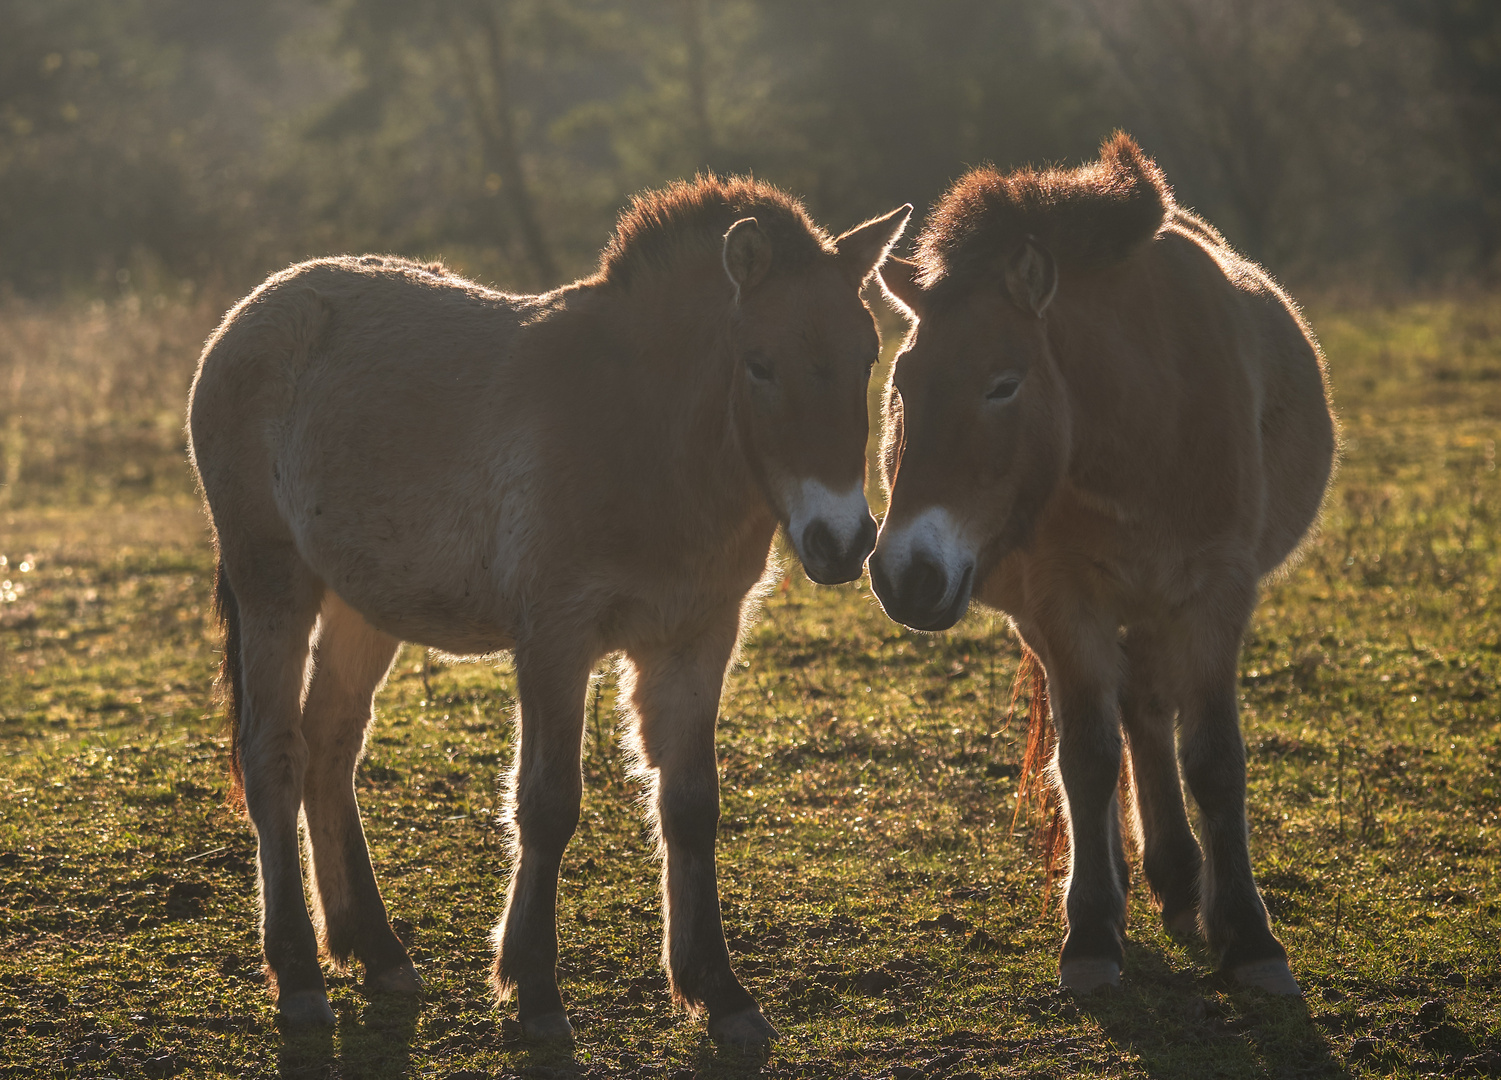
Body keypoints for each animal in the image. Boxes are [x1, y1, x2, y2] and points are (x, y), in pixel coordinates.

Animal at [192, 177, 906, 1044]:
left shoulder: (695, 639)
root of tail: (253, 312)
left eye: (867, 356)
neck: (647, 436)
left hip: (362, 605)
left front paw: (720, 990)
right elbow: (547, 804)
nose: (841, 541)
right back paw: (298, 975)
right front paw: (534, 990)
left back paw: (375, 948)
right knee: (274, 755)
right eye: (760, 365)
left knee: (330, 745)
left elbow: (690, 804)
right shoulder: (556, 640)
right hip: (274, 582)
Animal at [870, 135, 1338, 996]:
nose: (903, 575)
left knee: (1149, 713)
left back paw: (1183, 881)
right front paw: (1090, 929)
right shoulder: (1064, 602)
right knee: (1116, 724)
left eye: (1002, 384)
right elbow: (1086, 758)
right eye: (902, 387)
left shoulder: (1214, 593)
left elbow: (1214, 761)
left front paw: (1249, 937)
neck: (1145, 424)